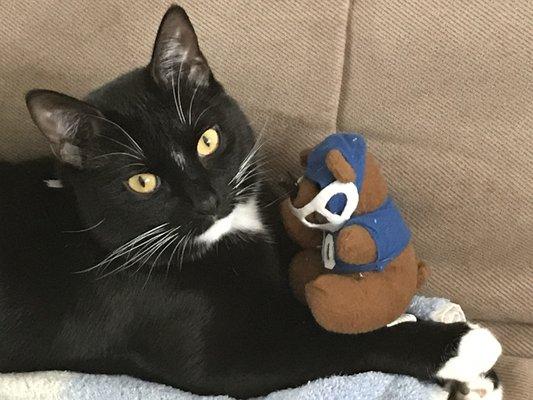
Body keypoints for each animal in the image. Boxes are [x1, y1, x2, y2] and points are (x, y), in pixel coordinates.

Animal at [0, 4, 498, 398]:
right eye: (142, 182)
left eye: (207, 140)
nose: (208, 199)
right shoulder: (215, 353)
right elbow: (333, 337)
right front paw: (463, 347)